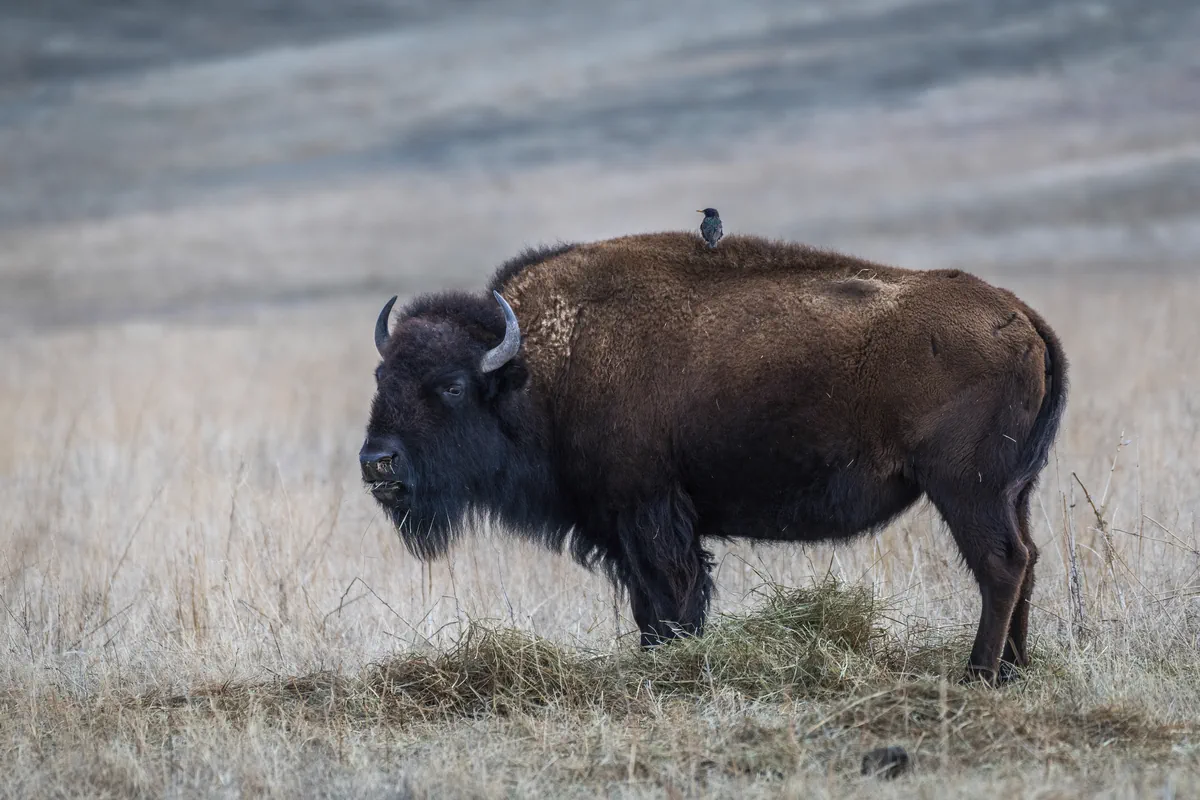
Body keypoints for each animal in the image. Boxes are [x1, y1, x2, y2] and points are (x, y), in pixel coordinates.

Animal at [359, 232, 1068, 683]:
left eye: (451, 386)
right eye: (382, 378)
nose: (376, 463)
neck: (544, 366)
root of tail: (1021, 315)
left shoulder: (649, 511)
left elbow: (672, 597)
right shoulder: (626, 527)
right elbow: (650, 603)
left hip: (967, 489)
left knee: (1001, 564)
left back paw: (979, 674)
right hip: (1013, 491)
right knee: (1027, 559)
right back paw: (1014, 669)